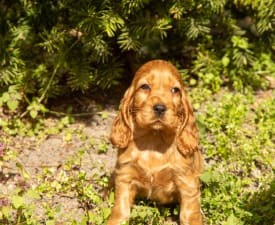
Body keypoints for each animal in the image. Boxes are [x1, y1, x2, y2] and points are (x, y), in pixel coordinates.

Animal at [108, 59, 205, 225]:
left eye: (175, 90)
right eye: (145, 86)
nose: (160, 108)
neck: (154, 140)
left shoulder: (187, 181)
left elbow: (190, 214)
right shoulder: (125, 176)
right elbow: (120, 211)